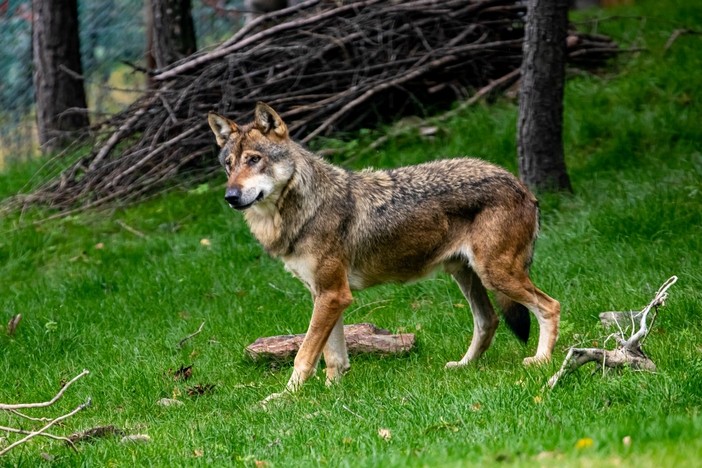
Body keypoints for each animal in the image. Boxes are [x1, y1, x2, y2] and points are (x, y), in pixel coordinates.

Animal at [208, 102, 560, 402]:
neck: (302, 210)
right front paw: (331, 393)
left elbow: (304, 355)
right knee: (489, 321)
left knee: (549, 306)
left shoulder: (332, 294)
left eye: (254, 159)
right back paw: (463, 366)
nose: (230, 196)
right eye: (228, 165)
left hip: (496, 275)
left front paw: (283, 398)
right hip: (467, 276)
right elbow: (333, 357)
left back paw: (541, 360)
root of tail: (523, 186)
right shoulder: (327, 295)